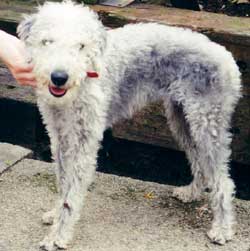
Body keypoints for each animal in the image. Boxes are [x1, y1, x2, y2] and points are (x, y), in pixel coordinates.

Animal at [16, 1, 241, 249]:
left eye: (81, 46)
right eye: (47, 41)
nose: (59, 77)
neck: (82, 83)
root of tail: (227, 57)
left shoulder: (84, 142)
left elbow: (71, 195)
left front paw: (57, 237)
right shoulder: (60, 138)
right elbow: (62, 183)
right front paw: (55, 215)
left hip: (207, 123)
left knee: (223, 181)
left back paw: (222, 229)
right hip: (182, 120)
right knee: (200, 163)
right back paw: (190, 193)